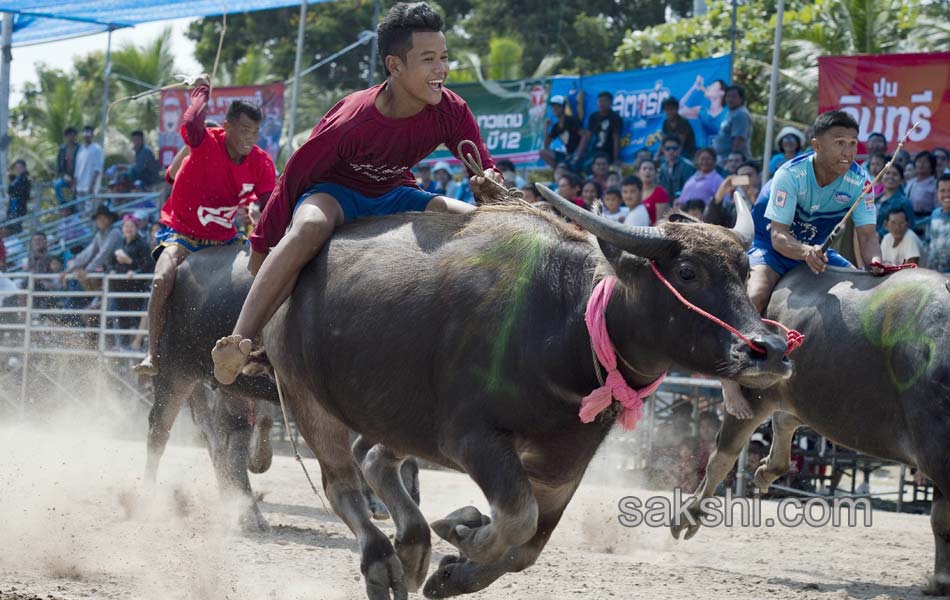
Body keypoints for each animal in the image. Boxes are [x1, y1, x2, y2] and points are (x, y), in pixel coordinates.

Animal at [260, 185, 796, 596]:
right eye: (687, 272)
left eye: (744, 272)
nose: (769, 349)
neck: (568, 328)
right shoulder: (471, 438)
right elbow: (517, 517)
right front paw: (464, 529)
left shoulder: (564, 465)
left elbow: (529, 548)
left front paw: (455, 569)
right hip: (306, 397)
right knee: (341, 483)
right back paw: (383, 563)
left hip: (398, 414)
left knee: (373, 459)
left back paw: (413, 547)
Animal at [668, 264, 950, 596]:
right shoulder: (936, 452)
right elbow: (942, 522)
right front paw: (939, 581)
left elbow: (940, 521)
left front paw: (939, 580)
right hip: (756, 395)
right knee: (722, 455)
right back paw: (690, 514)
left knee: (782, 422)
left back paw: (766, 471)